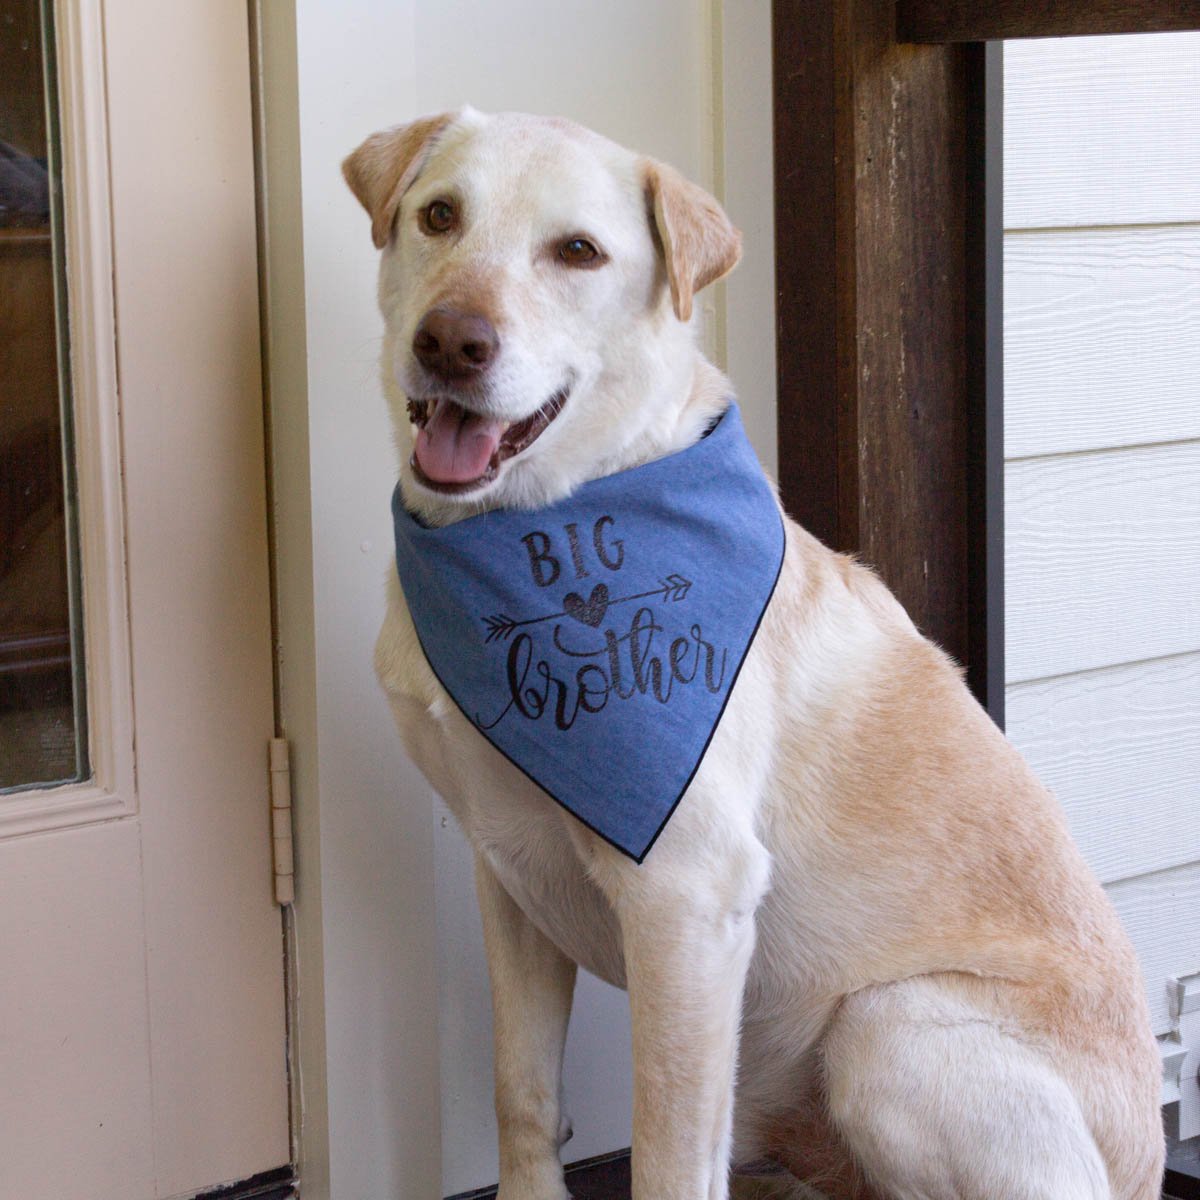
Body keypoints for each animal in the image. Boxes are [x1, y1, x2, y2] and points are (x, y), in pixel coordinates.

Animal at [345, 110, 1161, 1200]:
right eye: (440, 216)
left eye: (577, 251)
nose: (450, 342)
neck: (532, 527)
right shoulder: (507, 872)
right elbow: (521, 1094)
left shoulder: (687, 897)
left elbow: (666, 1150)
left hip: (889, 1026)